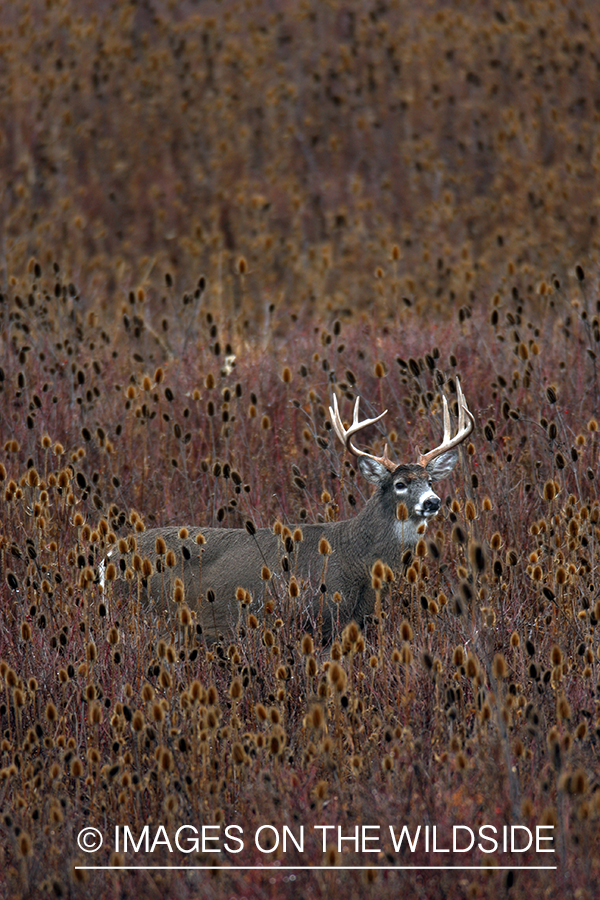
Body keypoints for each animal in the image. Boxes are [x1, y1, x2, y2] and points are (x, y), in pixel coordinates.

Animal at [103, 380, 474, 640]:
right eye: (399, 484)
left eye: (430, 479)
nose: (432, 502)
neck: (357, 557)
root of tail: (108, 555)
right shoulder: (321, 617)